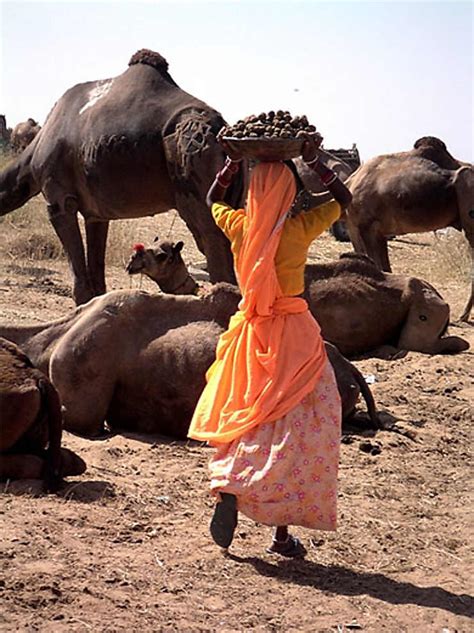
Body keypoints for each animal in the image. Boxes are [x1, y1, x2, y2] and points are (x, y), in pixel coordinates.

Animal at [0, 47, 244, 304]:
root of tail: (220, 129)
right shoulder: (96, 213)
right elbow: (96, 268)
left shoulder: (58, 198)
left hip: (193, 169)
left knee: (212, 239)